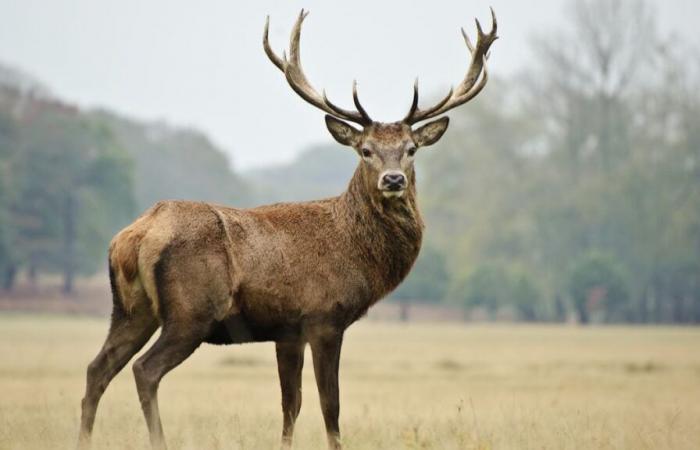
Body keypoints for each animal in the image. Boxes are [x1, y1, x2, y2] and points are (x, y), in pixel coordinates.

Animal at [76, 7, 498, 450]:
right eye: (365, 150)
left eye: (411, 149)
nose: (394, 179)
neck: (355, 251)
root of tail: (136, 235)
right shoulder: (324, 317)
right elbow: (330, 405)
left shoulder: (287, 330)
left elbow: (290, 404)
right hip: (191, 312)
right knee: (145, 370)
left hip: (130, 309)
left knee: (97, 369)